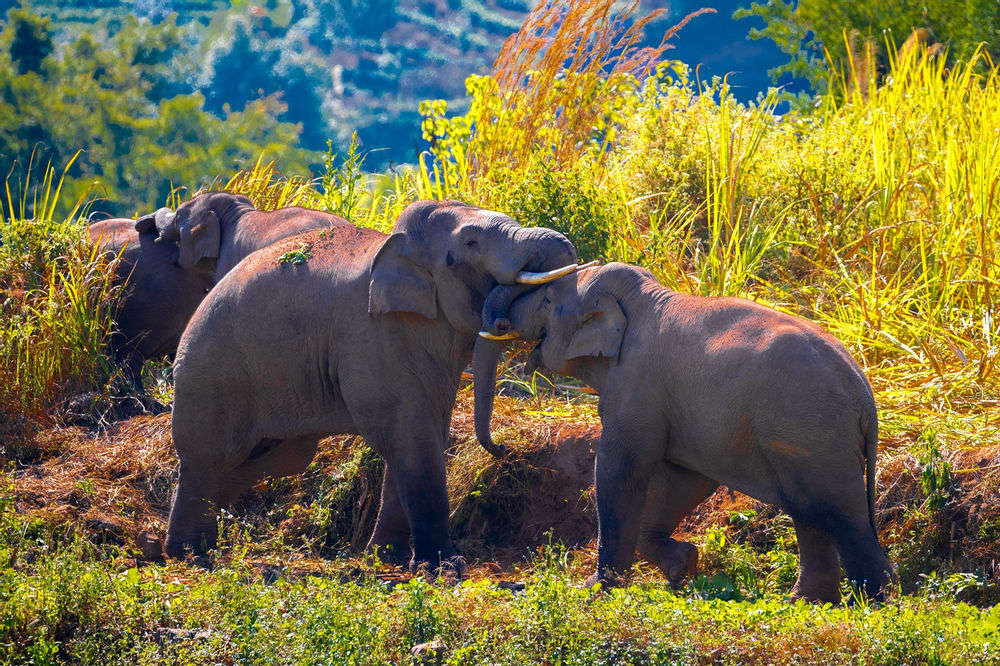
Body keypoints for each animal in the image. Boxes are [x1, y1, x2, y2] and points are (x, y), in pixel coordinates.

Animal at [164, 198, 580, 572]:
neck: (396, 246)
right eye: (471, 242)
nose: (504, 449)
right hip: (213, 373)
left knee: (265, 460)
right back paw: (189, 555)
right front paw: (445, 566)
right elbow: (409, 434)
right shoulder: (372, 336)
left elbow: (424, 432)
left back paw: (203, 547)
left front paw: (385, 558)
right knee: (209, 457)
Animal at [472, 262, 896, 600]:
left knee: (840, 514)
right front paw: (684, 566)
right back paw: (808, 603)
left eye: (546, 302)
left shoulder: (637, 383)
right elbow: (687, 480)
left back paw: (873, 607)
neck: (641, 298)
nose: (503, 449)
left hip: (814, 434)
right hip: (805, 437)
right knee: (809, 510)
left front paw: (599, 590)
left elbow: (619, 469)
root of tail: (865, 397)